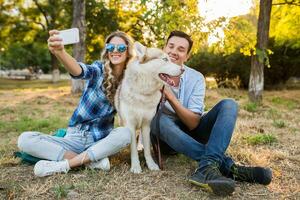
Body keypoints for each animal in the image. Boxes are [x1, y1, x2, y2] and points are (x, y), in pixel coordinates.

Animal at [115, 42, 183, 173]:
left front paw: (151, 165)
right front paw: (136, 167)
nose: (183, 69)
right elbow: (133, 150)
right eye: (165, 59)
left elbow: (147, 149)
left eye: (171, 59)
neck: (143, 93)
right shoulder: (130, 125)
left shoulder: (147, 124)